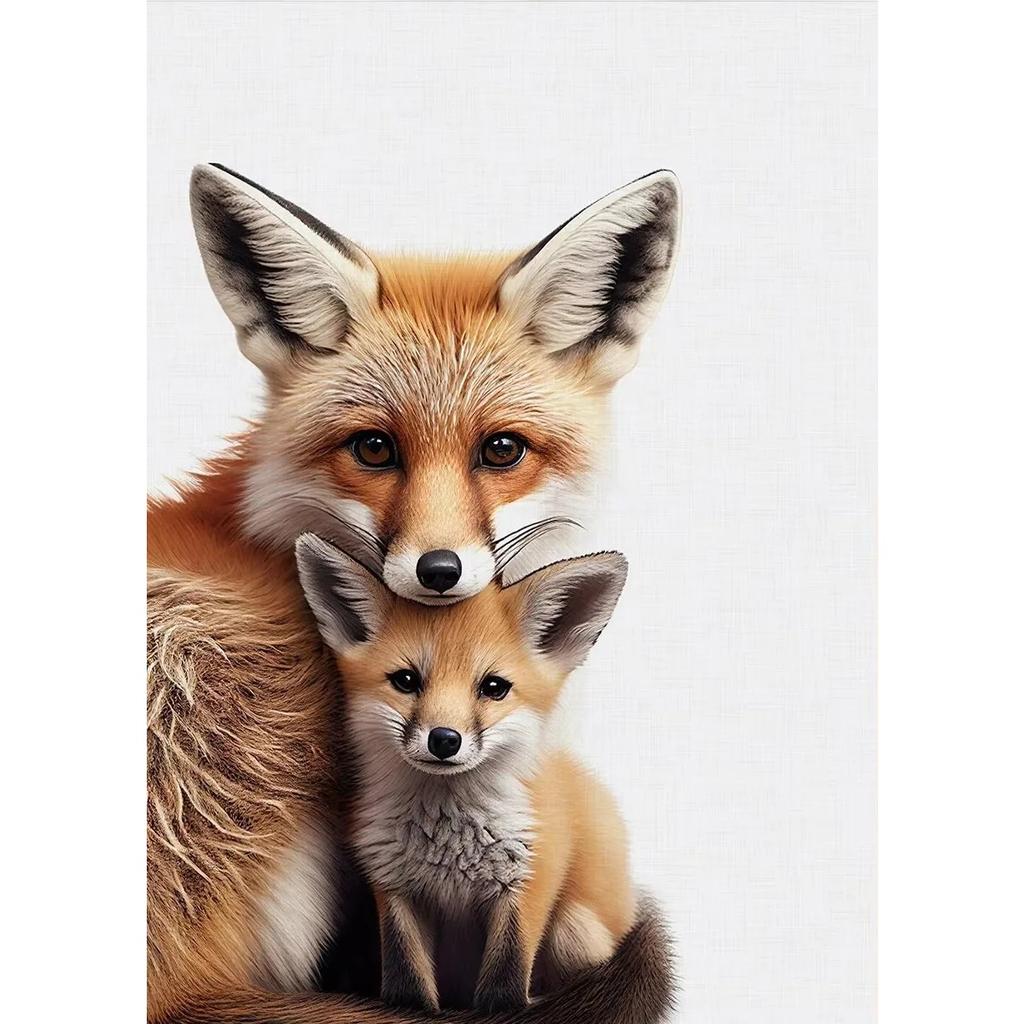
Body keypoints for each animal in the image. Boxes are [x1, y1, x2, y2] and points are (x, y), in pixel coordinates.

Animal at [295, 534, 637, 1014]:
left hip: (576, 931)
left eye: (494, 687)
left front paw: (505, 1010)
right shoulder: (394, 886)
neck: (448, 841)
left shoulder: (530, 880)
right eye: (406, 680)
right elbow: (408, 983)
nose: (444, 740)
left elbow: (504, 982)